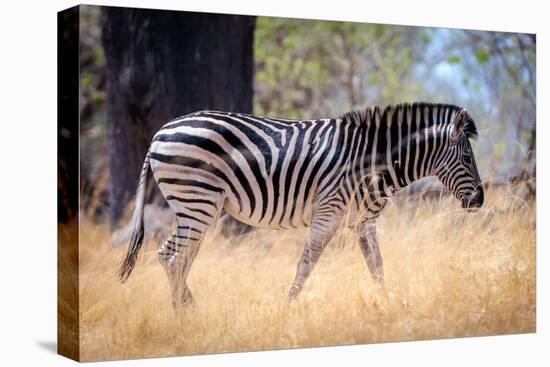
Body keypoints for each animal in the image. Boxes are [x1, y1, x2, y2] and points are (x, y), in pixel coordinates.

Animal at [119, 102, 484, 306]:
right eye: (467, 158)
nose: (480, 200)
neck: (372, 161)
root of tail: (159, 133)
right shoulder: (328, 211)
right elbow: (306, 264)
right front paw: (288, 309)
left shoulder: (364, 221)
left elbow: (377, 267)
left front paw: (390, 305)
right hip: (197, 201)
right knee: (170, 256)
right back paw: (188, 314)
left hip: (198, 208)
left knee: (181, 260)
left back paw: (189, 311)